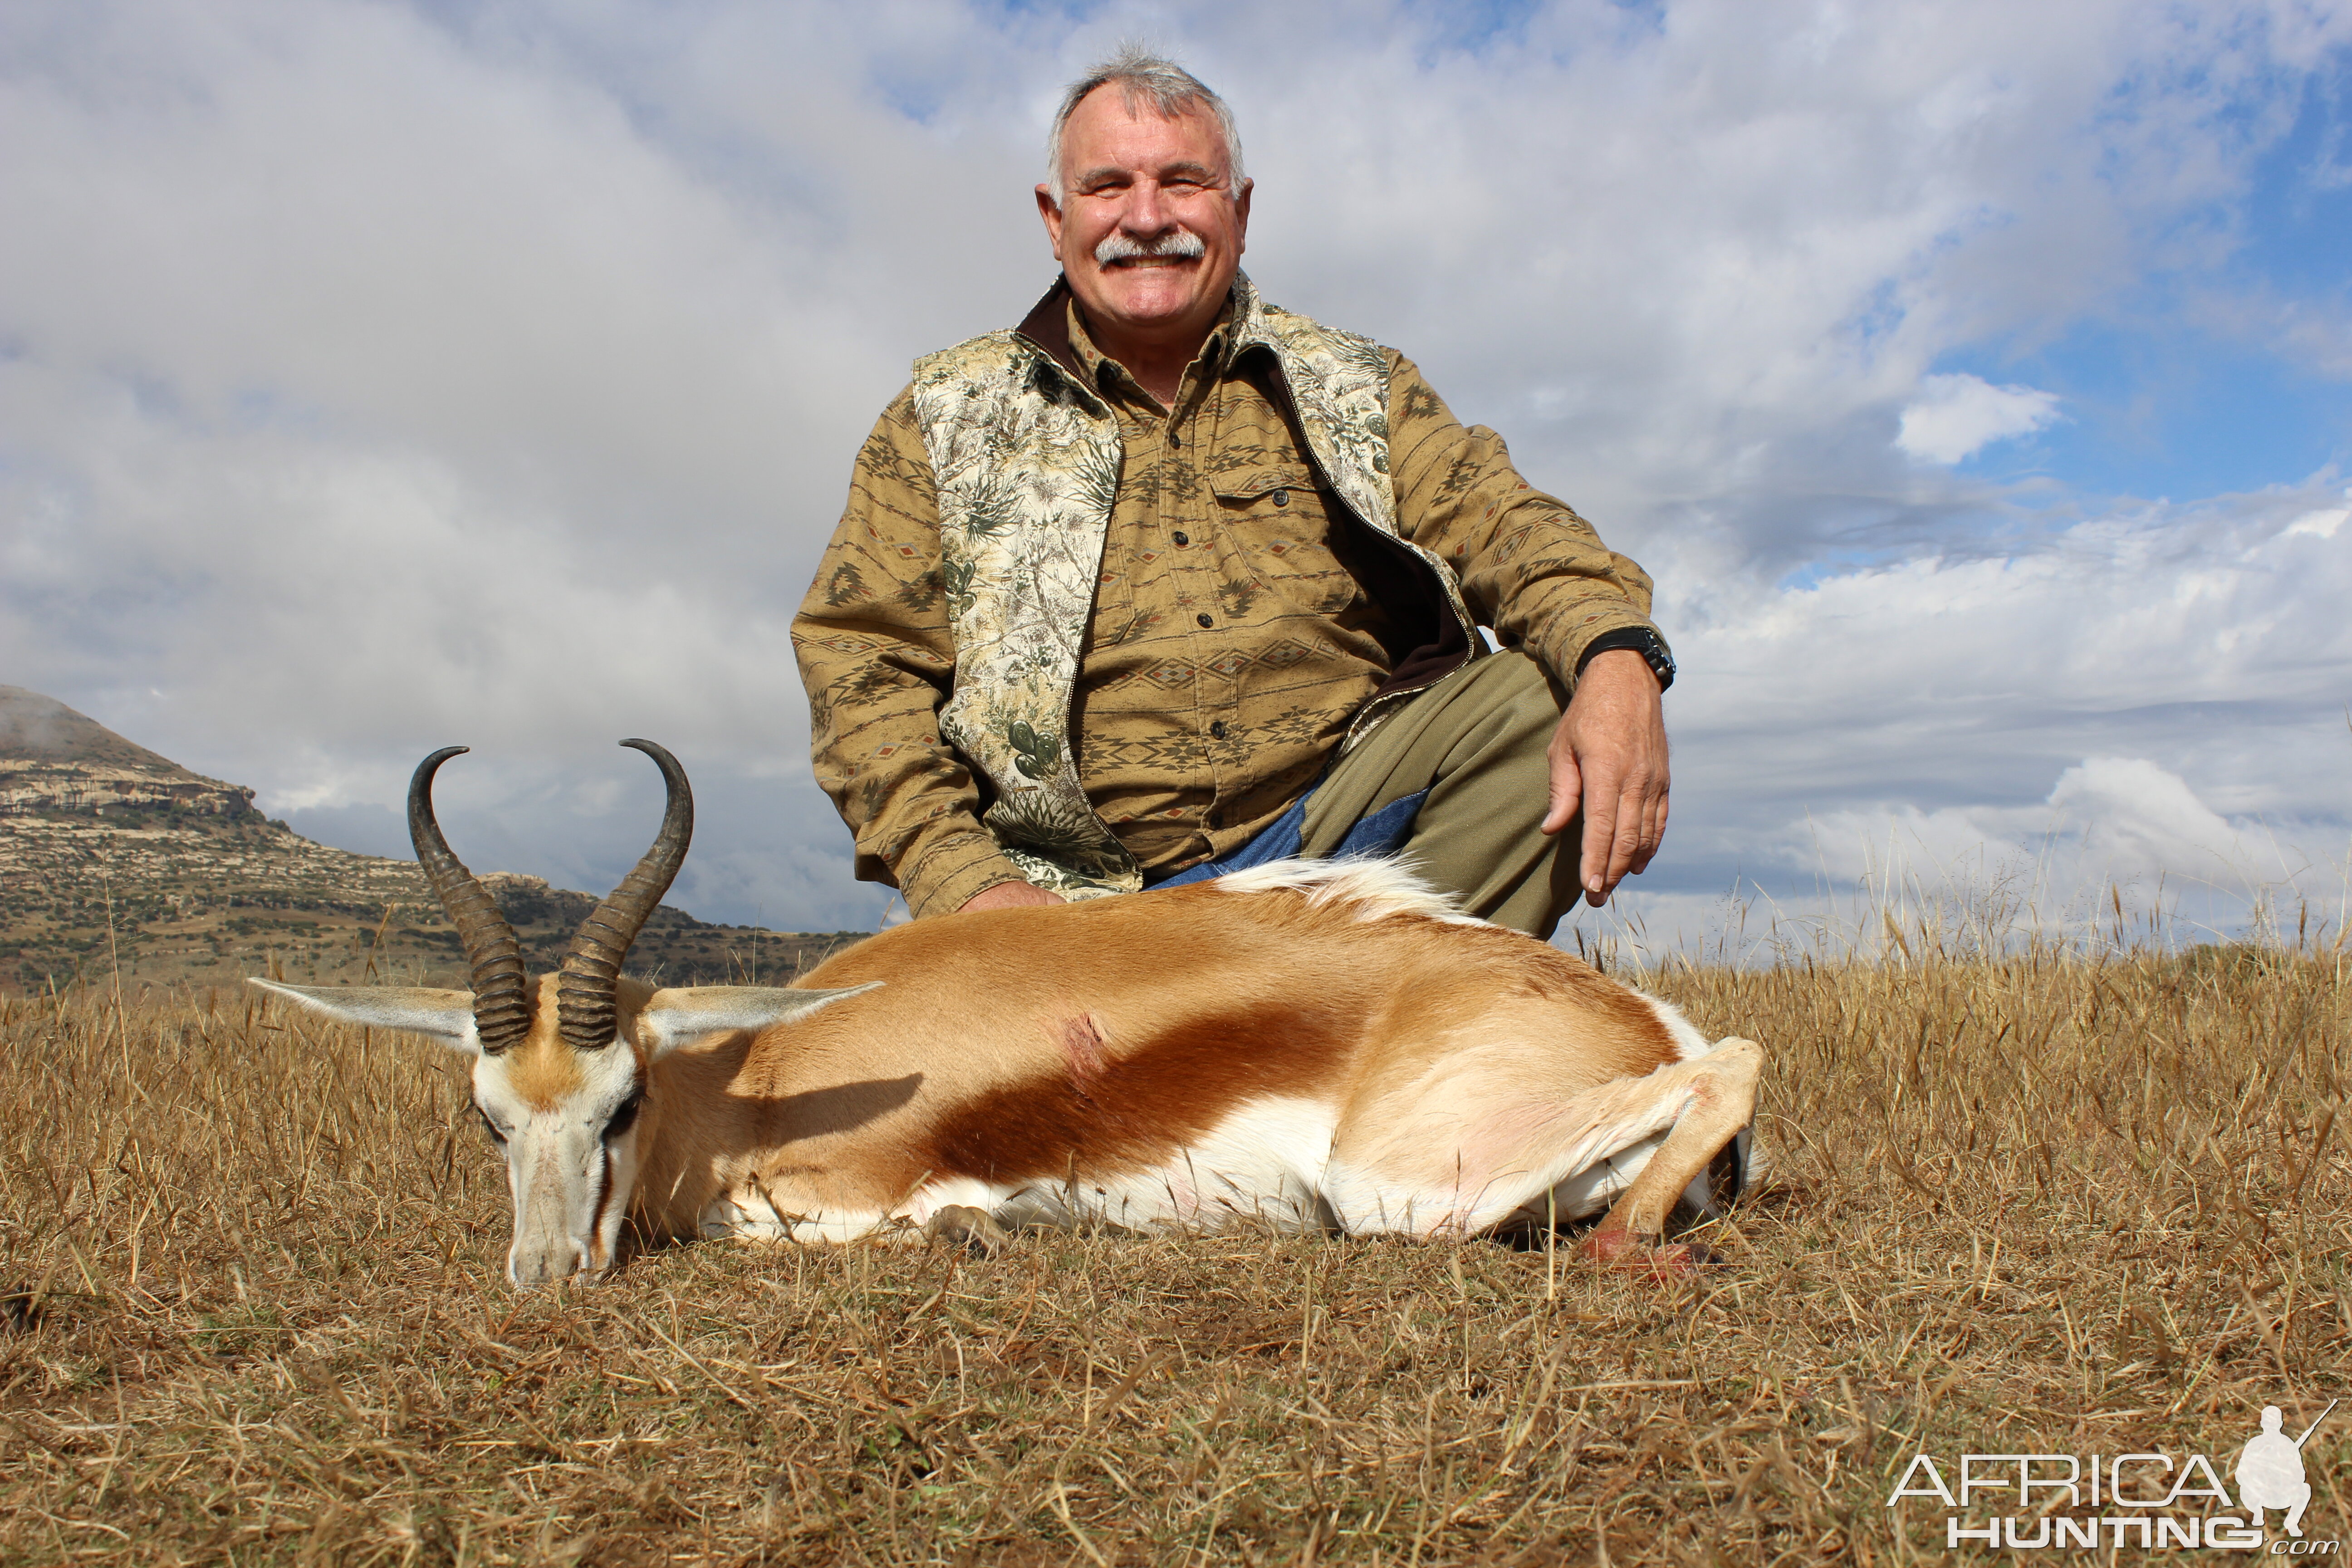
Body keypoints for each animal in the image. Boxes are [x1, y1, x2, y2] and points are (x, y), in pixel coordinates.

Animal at [257, 747, 1769, 1288]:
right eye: (486, 1118)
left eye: (621, 1101)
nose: (542, 1277)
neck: (764, 1071)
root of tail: (1636, 1019)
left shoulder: (853, 1188)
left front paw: (983, 1230)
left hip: (1396, 1189)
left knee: (1739, 1060)